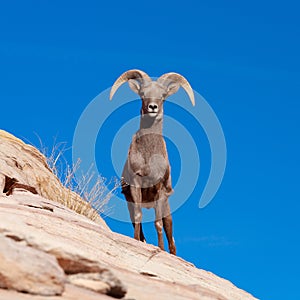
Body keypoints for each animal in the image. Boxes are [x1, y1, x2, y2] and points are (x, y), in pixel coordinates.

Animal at [110, 69, 195, 254]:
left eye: (163, 96)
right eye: (143, 94)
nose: (153, 107)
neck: (148, 156)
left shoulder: (160, 191)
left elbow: (158, 224)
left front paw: (160, 249)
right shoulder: (135, 185)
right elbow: (138, 217)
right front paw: (136, 241)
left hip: (166, 210)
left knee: (171, 238)